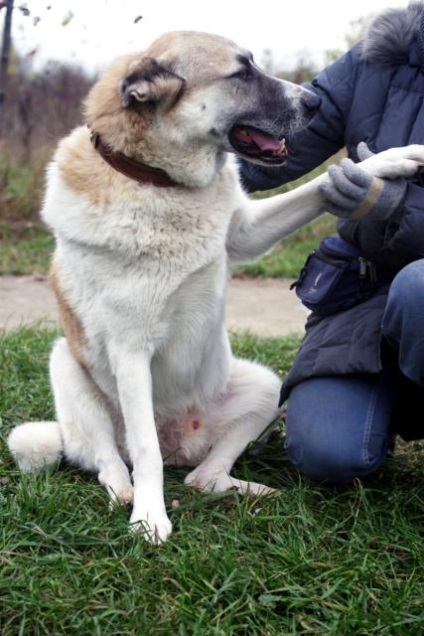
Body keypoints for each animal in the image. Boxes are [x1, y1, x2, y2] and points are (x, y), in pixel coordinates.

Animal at [7, 32, 424, 544]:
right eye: (241, 72)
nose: (315, 101)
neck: (165, 186)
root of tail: (178, 442)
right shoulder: (130, 352)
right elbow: (144, 452)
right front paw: (149, 518)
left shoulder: (247, 231)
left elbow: (319, 187)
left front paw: (390, 164)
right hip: (66, 365)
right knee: (114, 459)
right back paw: (127, 493)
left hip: (266, 387)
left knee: (201, 476)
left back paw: (247, 489)